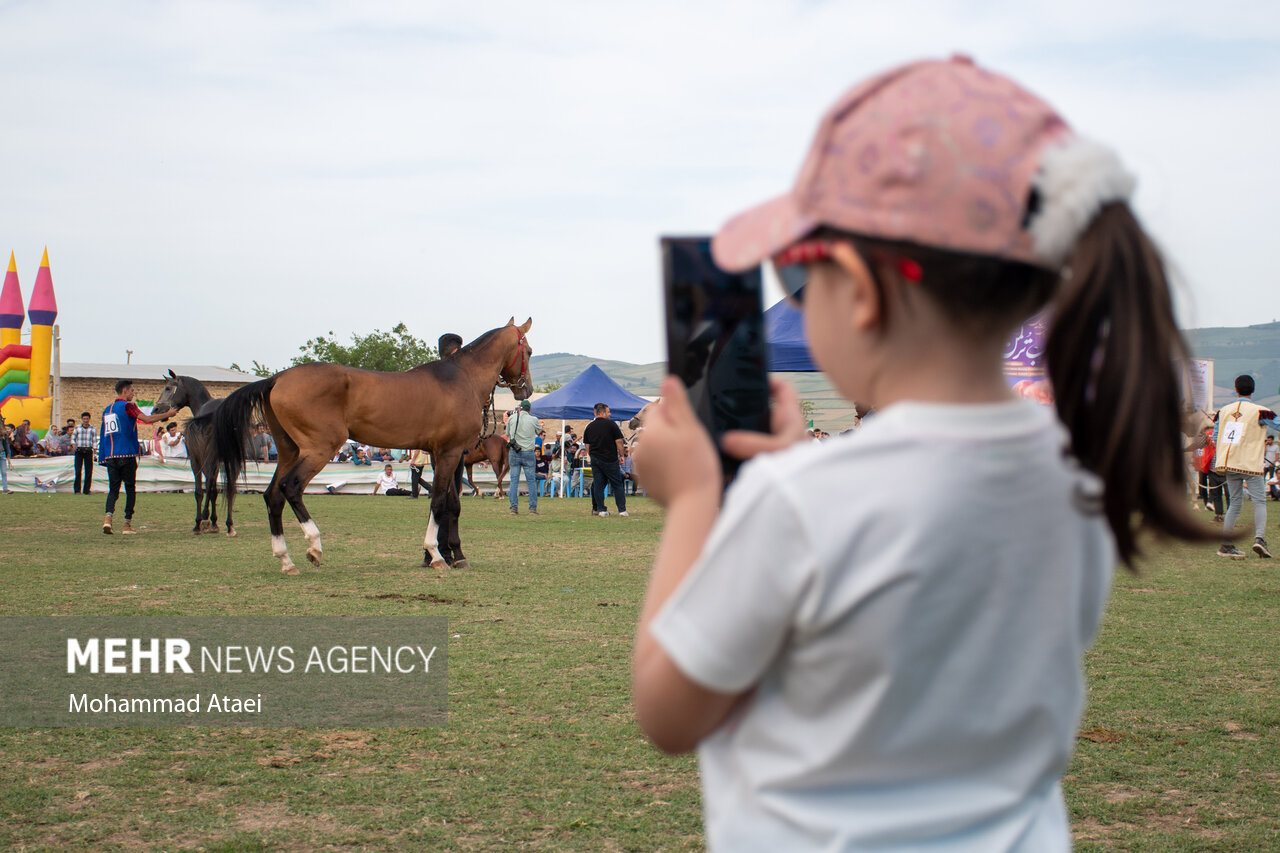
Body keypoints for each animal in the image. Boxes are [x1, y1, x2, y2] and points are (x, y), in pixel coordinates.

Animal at [202, 318, 532, 571]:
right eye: (528, 350)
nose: (525, 389)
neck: (461, 378)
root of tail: (276, 379)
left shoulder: (440, 455)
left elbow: (450, 503)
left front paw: (450, 554)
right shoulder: (449, 453)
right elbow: (439, 501)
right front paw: (436, 555)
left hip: (288, 451)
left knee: (272, 495)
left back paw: (286, 559)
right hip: (318, 449)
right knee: (290, 487)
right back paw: (314, 547)